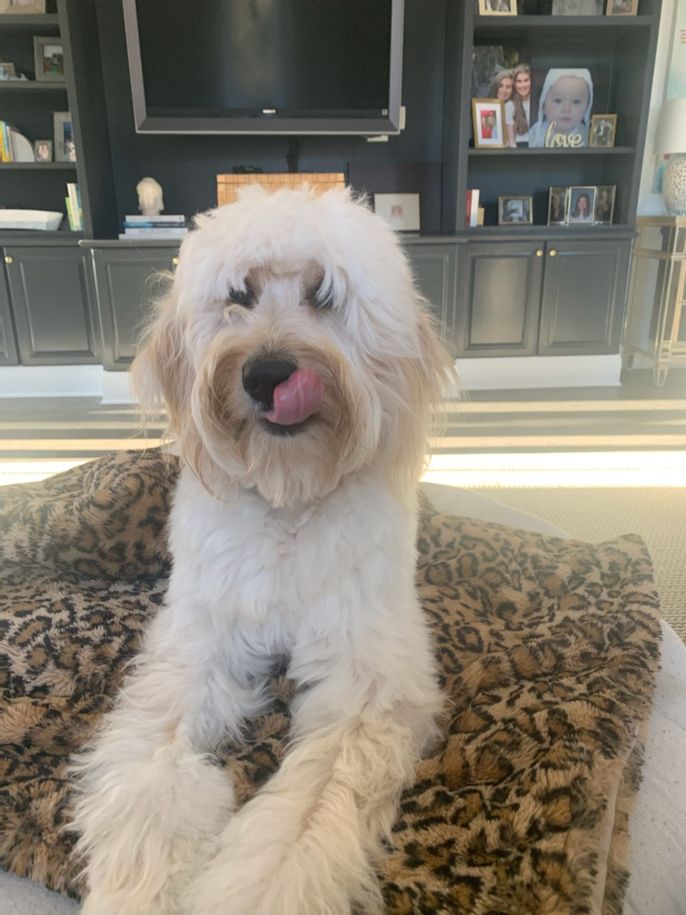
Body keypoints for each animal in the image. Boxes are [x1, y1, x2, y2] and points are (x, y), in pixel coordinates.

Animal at [70, 186, 454, 914]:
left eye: (324, 294)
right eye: (238, 294)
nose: (267, 372)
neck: (288, 500)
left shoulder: (365, 685)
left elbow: (303, 821)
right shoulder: (196, 648)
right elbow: (152, 771)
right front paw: (143, 883)